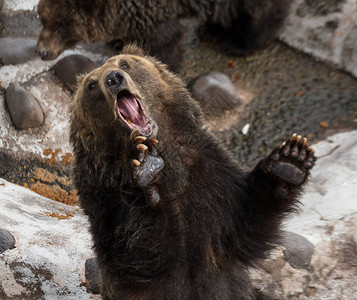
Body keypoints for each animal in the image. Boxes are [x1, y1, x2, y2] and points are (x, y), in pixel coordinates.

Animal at [37, 0, 290, 70]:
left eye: (62, 25)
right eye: (43, 17)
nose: (42, 51)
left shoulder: (154, 13)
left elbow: (165, 42)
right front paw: (119, 41)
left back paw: (239, 42)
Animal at [69, 45, 314, 300]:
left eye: (125, 63)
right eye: (91, 85)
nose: (113, 78)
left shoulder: (209, 171)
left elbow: (243, 227)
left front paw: (289, 161)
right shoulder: (102, 193)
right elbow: (135, 254)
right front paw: (146, 168)